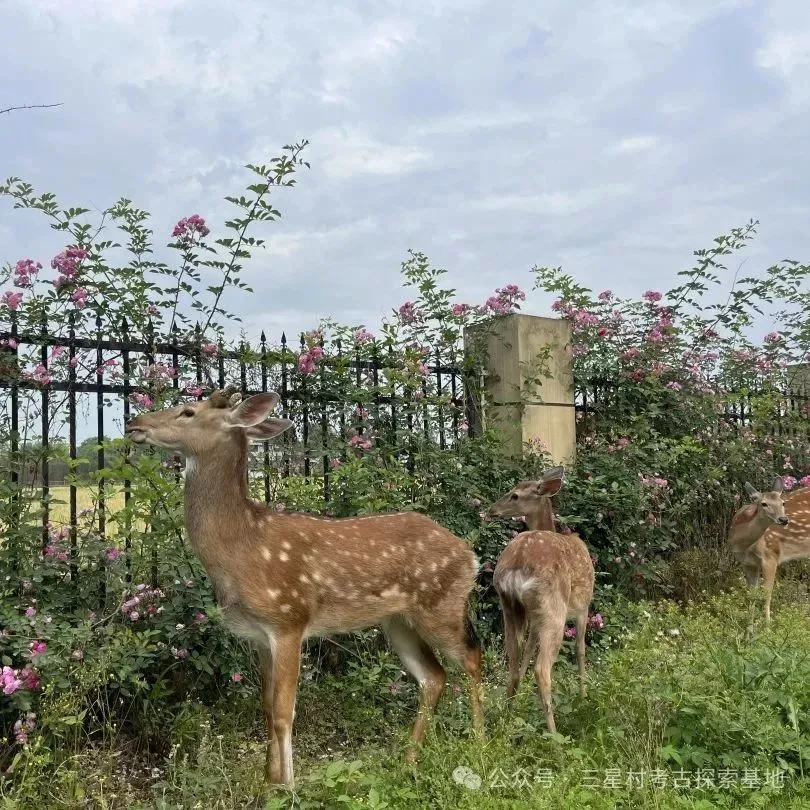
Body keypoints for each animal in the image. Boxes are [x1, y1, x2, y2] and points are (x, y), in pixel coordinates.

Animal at [124, 388, 484, 788]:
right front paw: (268, 783)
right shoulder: (258, 635)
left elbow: (285, 711)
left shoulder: (289, 620)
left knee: (472, 657)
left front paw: (291, 787)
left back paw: (483, 746)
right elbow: (266, 708)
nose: (134, 422)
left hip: (442, 604)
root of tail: (470, 554)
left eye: (188, 411)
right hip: (397, 621)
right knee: (434, 676)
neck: (243, 547)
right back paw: (408, 761)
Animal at [488, 465, 594, 734]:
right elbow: (580, 649)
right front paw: (584, 695)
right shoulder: (583, 607)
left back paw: (508, 717)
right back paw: (554, 734)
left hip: (510, 606)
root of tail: (517, 564)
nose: (492, 509)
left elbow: (528, 649)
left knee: (512, 664)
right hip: (553, 609)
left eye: (514, 495)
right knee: (542, 669)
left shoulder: (535, 620)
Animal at [728, 476, 810, 627]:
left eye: (783, 503)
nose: (783, 519)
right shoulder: (747, 563)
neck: (744, 545)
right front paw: (749, 630)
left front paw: (767, 628)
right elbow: (752, 596)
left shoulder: (771, 556)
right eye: (764, 504)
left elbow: (766, 596)